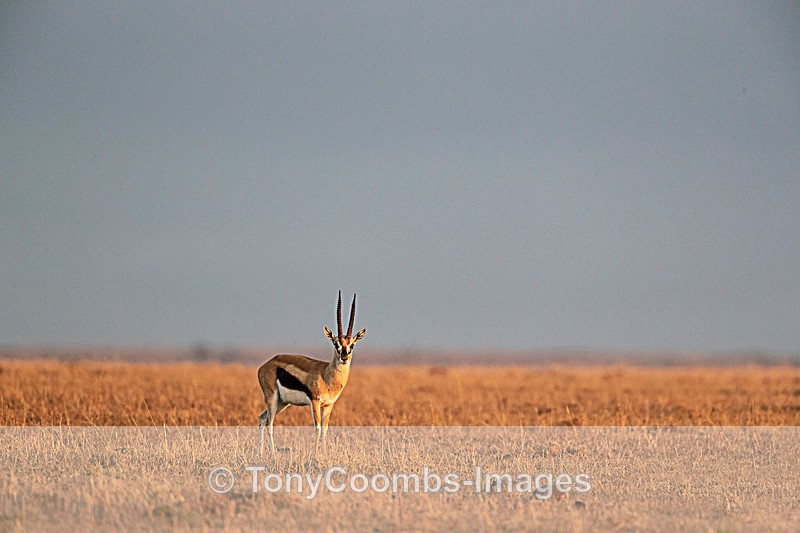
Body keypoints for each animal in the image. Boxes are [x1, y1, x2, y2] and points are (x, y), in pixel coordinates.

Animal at [257, 291, 365, 454]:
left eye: (351, 345)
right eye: (336, 343)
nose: (344, 357)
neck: (326, 375)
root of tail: (265, 365)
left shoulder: (328, 405)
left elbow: (325, 430)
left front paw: (324, 454)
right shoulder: (315, 401)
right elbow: (318, 428)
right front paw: (316, 455)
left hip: (282, 403)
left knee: (262, 419)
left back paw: (260, 453)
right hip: (272, 399)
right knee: (269, 424)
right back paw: (273, 455)